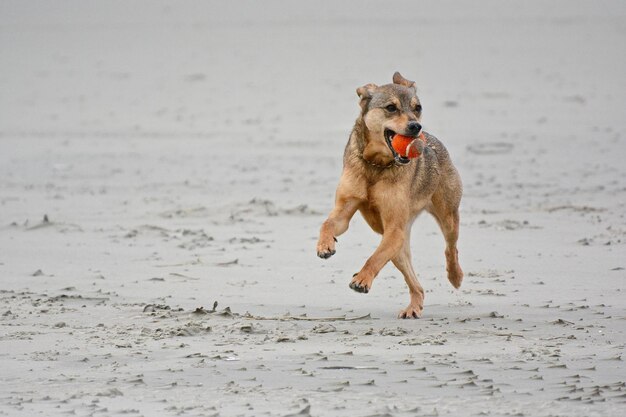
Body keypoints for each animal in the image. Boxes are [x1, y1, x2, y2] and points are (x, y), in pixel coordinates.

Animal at [314, 71, 460, 318]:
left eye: (418, 107)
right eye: (391, 108)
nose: (416, 126)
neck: (376, 164)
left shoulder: (394, 228)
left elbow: (374, 258)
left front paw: (362, 279)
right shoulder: (345, 211)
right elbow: (328, 223)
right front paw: (325, 245)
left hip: (445, 217)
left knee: (451, 248)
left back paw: (455, 276)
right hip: (398, 246)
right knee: (415, 283)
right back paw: (414, 307)